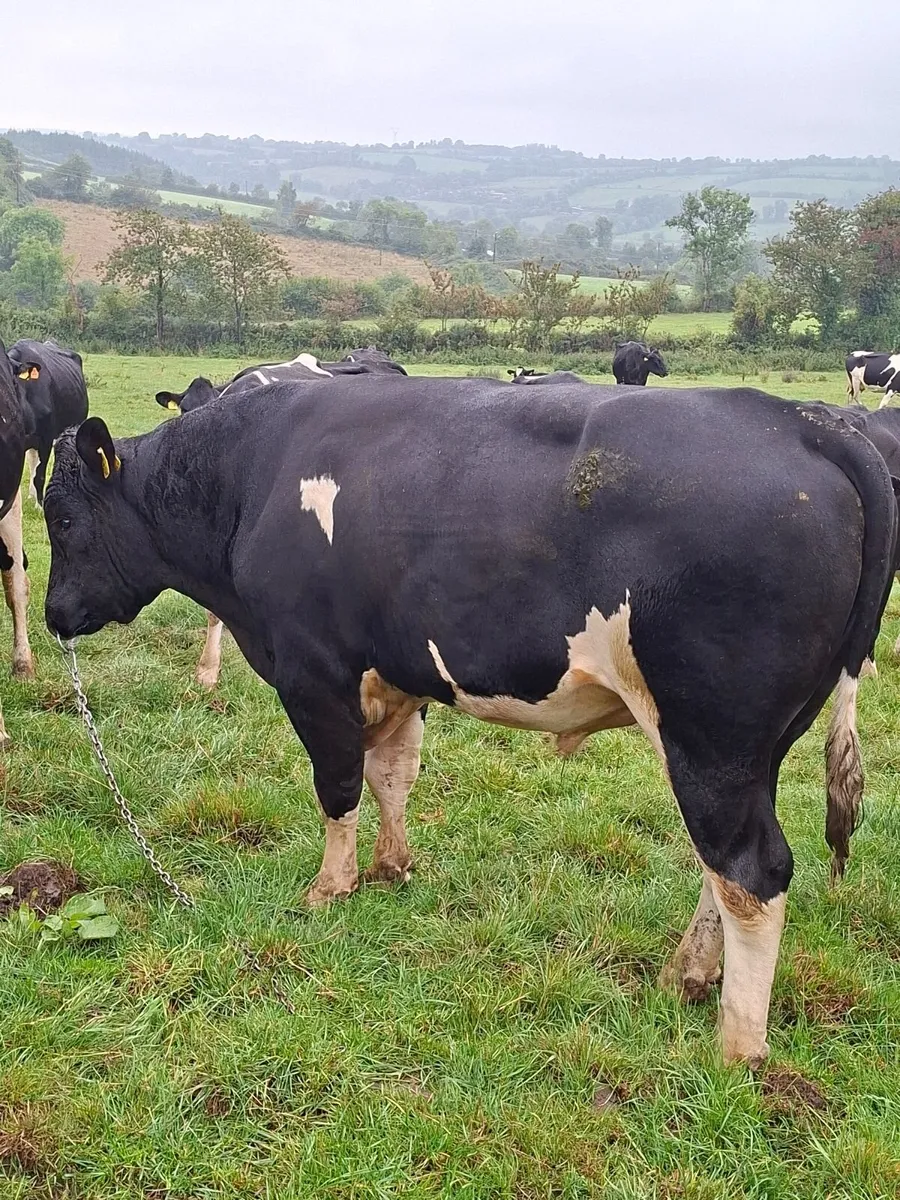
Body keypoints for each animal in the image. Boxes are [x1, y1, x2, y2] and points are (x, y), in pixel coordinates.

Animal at [44, 377, 897, 1067]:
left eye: (61, 516)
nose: (54, 616)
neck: (249, 478)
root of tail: (805, 421)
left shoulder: (311, 671)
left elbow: (337, 786)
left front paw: (329, 888)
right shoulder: (396, 673)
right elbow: (392, 775)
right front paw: (391, 868)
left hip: (710, 736)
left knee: (752, 872)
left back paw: (737, 1046)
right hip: (753, 745)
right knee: (721, 867)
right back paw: (686, 974)